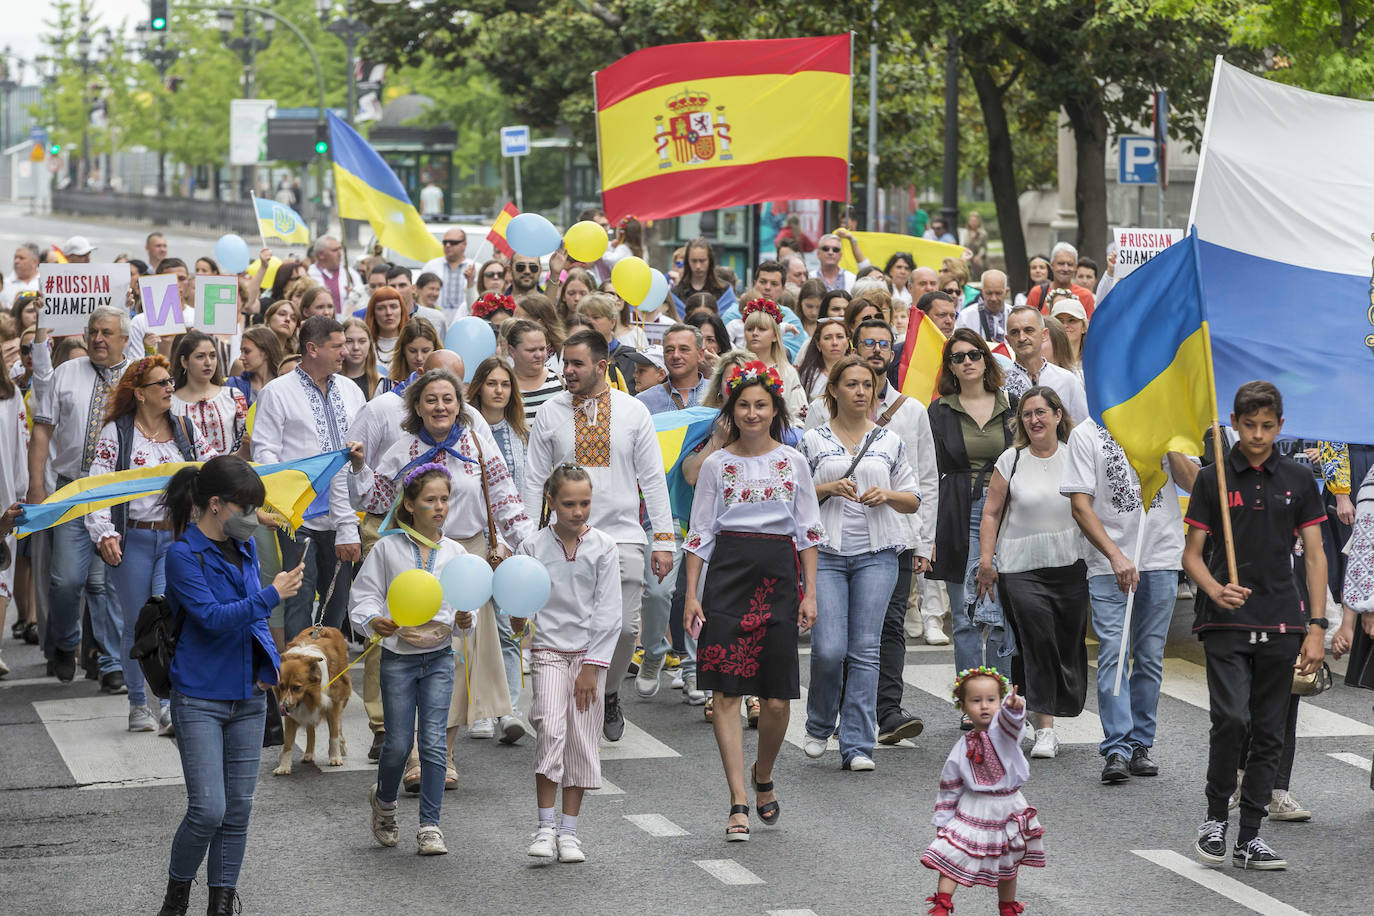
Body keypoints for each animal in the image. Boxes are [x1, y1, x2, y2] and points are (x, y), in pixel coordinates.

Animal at [272, 626, 348, 780]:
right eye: (281, 686)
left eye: (297, 687)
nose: (283, 708)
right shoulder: (292, 713)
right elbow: (288, 742)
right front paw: (284, 767)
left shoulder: (333, 704)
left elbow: (333, 734)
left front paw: (335, 757)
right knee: (310, 729)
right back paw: (308, 753)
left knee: (339, 726)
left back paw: (341, 746)